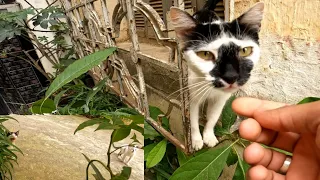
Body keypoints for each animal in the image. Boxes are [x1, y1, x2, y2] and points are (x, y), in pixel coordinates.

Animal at [171, 1, 264, 150]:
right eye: (205, 54)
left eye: (245, 51)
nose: (231, 76)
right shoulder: (192, 96)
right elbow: (193, 120)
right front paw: (196, 140)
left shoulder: (221, 99)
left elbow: (213, 118)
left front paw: (209, 136)